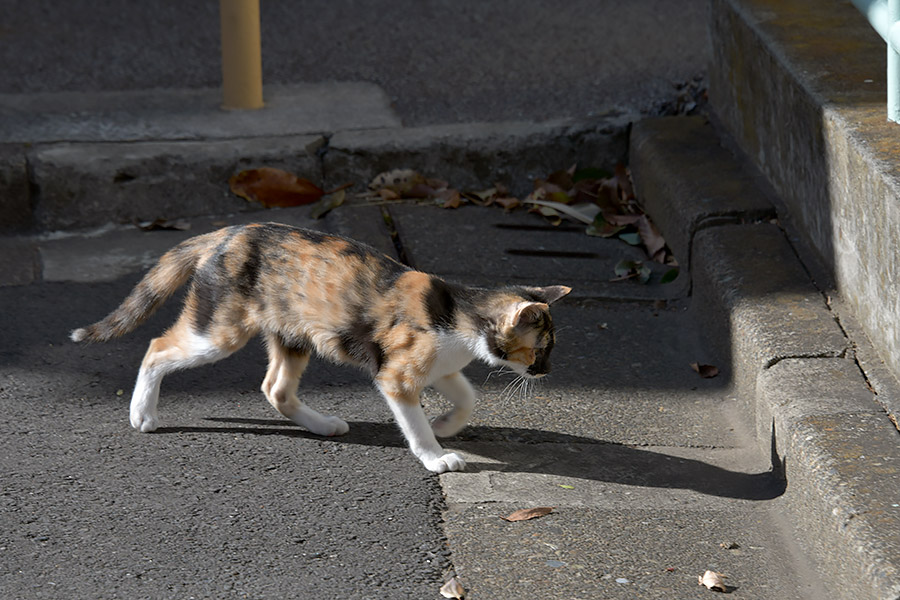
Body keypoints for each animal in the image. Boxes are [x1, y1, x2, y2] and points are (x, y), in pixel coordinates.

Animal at [72, 221, 568, 474]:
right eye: (542, 348)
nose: (547, 372)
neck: (458, 313)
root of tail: (226, 232)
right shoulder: (397, 375)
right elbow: (414, 422)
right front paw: (433, 453)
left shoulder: (442, 367)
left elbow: (469, 396)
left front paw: (446, 424)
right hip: (217, 333)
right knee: (156, 347)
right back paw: (143, 414)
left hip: (291, 335)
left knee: (275, 389)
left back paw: (323, 425)